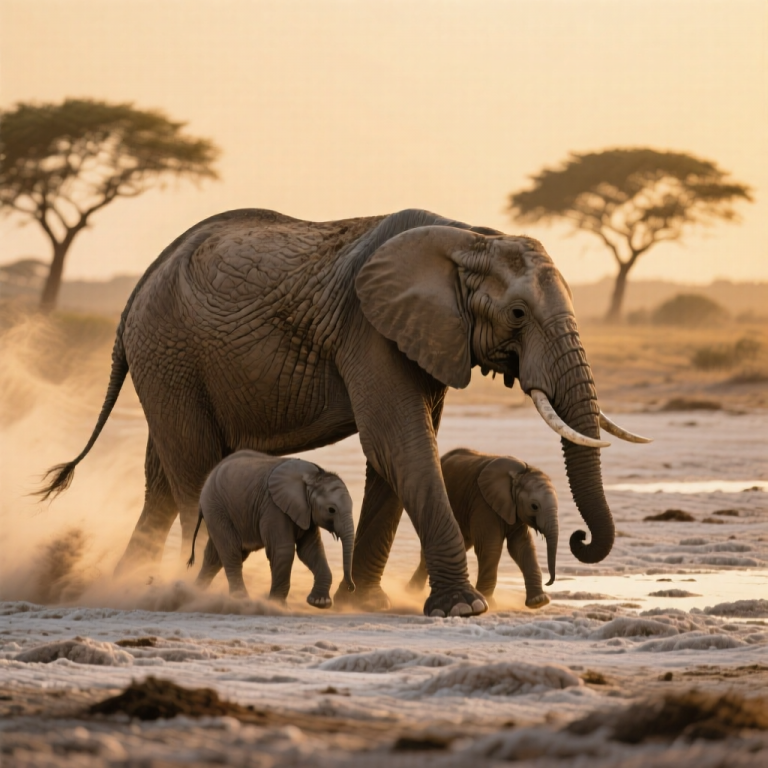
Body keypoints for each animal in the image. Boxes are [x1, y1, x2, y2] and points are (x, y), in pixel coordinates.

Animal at [186, 451, 355, 607]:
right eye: (331, 510)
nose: (351, 588)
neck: (314, 476)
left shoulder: (306, 513)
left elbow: (311, 550)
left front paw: (319, 602)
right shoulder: (273, 507)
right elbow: (283, 550)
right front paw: (276, 605)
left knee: (214, 557)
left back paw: (194, 592)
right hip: (216, 508)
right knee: (231, 552)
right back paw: (241, 600)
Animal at [407, 448, 557, 609]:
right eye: (534, 506)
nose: (549, 582)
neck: (521, 473)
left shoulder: (515, 511)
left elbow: (522, 547)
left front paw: (538, 602)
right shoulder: (483, 504)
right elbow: (490, 547)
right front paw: (488, 602)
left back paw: (411, 591)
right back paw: (411, 592)